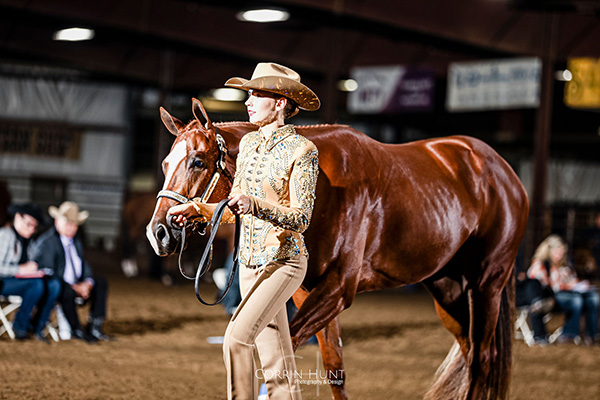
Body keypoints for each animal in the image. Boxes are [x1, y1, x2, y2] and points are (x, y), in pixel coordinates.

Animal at [148, 98, 528, 398]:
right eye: (165, 163)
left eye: (198, 161)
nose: (159, 232)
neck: (326, 185)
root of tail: (504, 172)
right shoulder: (309, 291)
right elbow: (334, 370)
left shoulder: (338, 290)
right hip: (446, 289)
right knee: (469, 352)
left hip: (486, 285)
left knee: (482, 359)